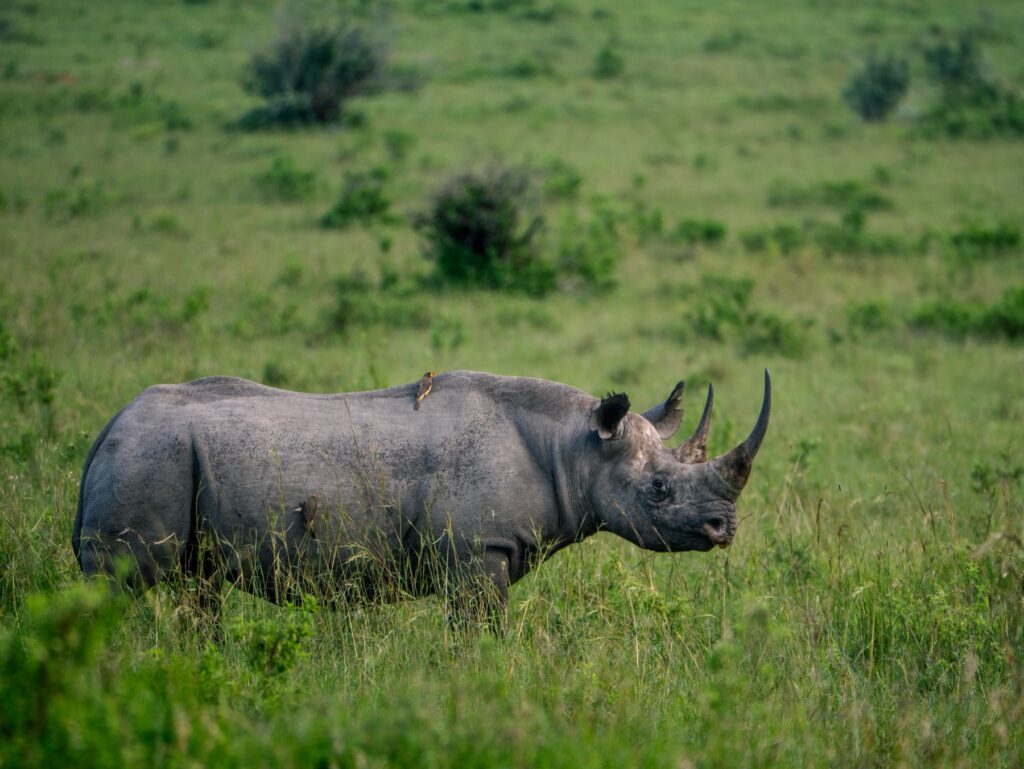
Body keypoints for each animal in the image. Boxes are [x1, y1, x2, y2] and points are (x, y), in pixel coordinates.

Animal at [73, 370, 770, 622]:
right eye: (659, 489)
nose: (725, 529)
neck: (573, 447)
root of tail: (107, 428)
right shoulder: (478, 552)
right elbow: (480, 632)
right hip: (147, 456)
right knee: (124, 585)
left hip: (158, 457)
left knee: (198, 586)